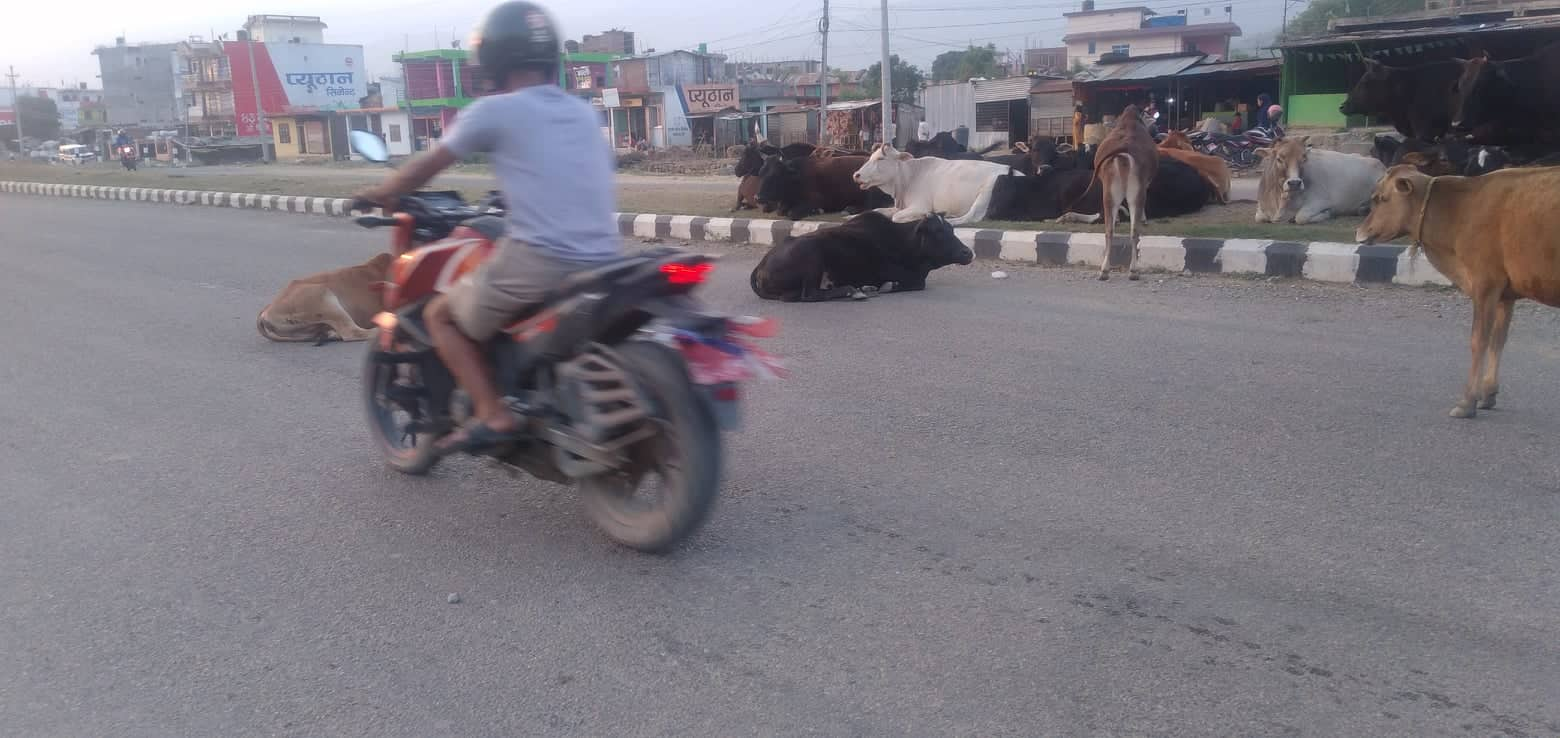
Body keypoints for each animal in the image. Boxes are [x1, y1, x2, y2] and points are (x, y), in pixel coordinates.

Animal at [745, 210, 973, 299]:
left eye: (951, 229)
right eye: (938, 232)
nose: (968, 252)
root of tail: (762, 263)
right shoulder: (889, 270)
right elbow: (916, 283)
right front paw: (889, 286)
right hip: (811, 254)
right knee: (809, 294)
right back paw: (852, 290)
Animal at [1254, 134, 1391, 221]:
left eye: (1304, 158)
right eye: (1279, 159)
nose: (1294, 183)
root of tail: (1381, 165)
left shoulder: (1321, 201)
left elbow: (1301, 217)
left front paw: (1327, 213)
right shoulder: (1262, 208)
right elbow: (1259, 217)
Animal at [1354, 166, 1560, 418]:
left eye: (1381, 198)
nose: (1359, 232)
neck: (1459, 209)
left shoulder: (1485, 284)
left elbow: (1478, 341)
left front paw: (1467, 401)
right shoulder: (1505, 293)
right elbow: (1498, 340)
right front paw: (1488, 393)